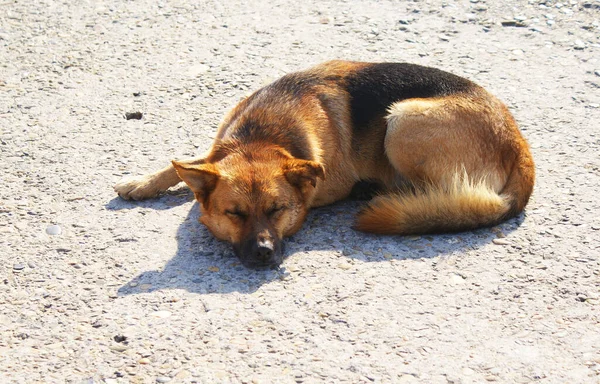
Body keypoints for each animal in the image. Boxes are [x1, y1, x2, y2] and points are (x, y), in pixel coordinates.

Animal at [113, 61, 536, 268]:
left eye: (277, 210)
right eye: (234, 213)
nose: (264, 253)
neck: (262, 135)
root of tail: (518, 140)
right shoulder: (218, 151)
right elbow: (185, 163)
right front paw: (141, 182)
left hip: (402, 120)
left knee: (444, 192)